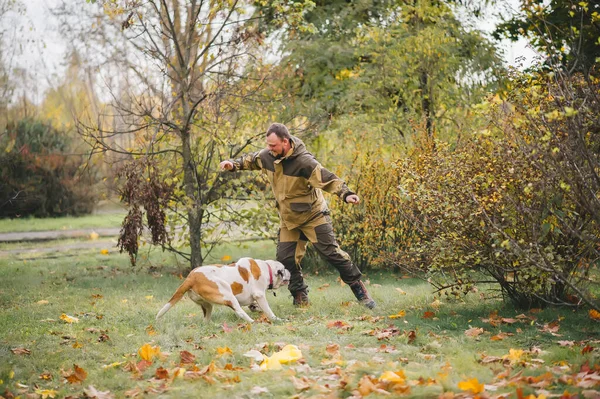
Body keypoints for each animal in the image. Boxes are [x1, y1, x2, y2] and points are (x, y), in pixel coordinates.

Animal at [156, 258, 290, 324]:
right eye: (284, 268)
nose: (290, 271)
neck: (267, 268)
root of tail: (191, 277)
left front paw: (255, 308)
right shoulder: (260, 295)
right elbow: (269, 311)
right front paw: (277, 320)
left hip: (207, 305)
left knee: (206, 318)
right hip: (228, 295)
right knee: (240, 312)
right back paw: (253, 322)